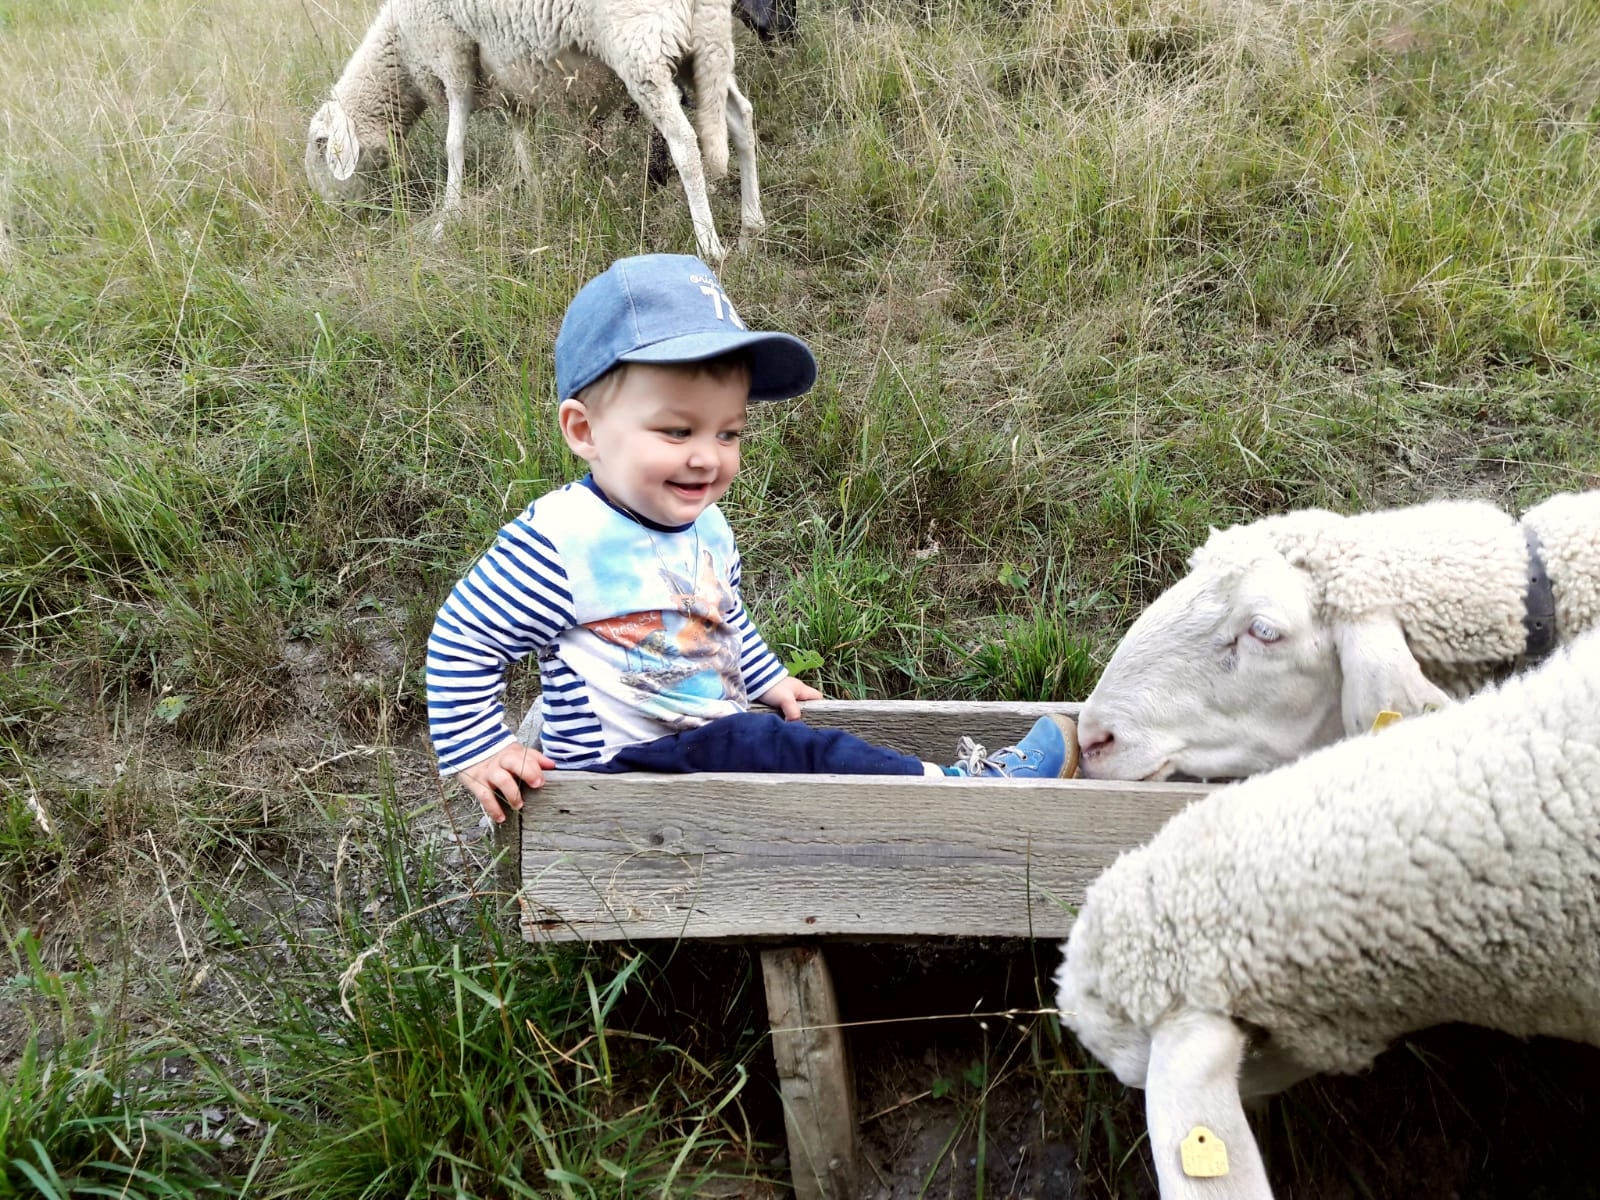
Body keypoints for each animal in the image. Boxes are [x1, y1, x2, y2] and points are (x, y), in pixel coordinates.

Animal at [310, 0, 768, 260]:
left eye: (319, 151)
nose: (336, 216)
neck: (400, 54)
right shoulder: (511, 87)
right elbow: (521, 142)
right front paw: (534, 199)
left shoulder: (452, 55)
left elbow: (454, 144)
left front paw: (446, 220)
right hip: (704, 48)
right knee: (741, 119)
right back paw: (751, 228)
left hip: (641, 47)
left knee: (685, 143)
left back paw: (711, 246)